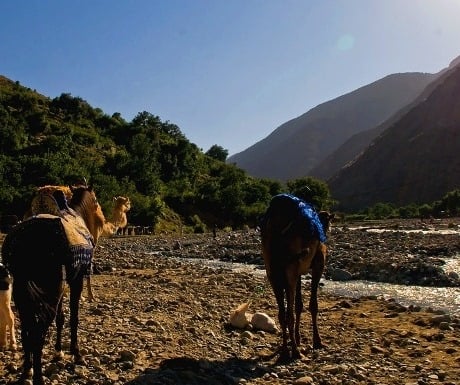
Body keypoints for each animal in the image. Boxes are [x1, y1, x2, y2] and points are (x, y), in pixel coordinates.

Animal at [260, 195, 332, 360]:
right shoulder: (318, 265)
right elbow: (313, 305)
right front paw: (317, 341)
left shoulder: (299, 272)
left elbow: (299, 305)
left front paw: (299, 338)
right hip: (289, 268)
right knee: (288, 313)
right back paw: (295, 351)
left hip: (272, 271)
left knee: (282, 313)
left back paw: (285, 350)